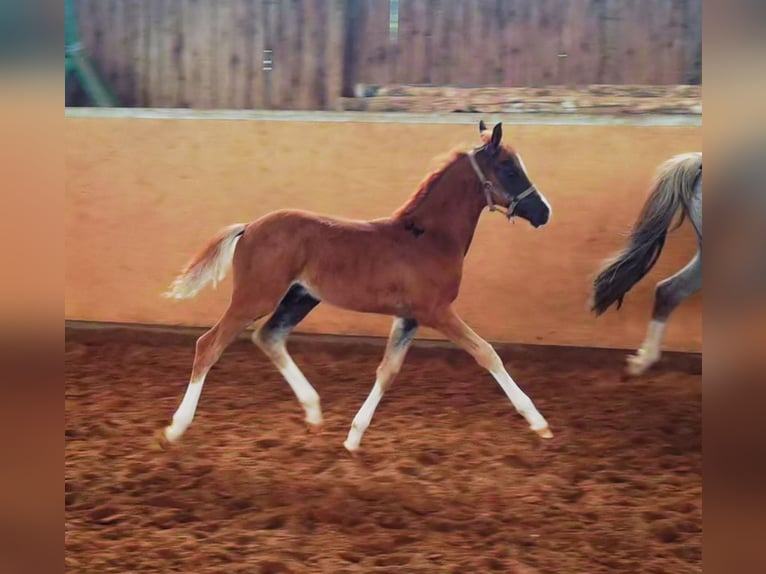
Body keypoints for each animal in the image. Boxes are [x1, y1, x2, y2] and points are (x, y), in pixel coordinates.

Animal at [162, 122, 556, 454]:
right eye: (509, 169)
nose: (544, 212)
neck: (428, 238)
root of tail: (249, 227)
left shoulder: (409, 318)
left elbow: (388, 370)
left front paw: (353, 437)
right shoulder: (436, 312)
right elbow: (486, 353)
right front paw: (539, 423)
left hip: (300, 298)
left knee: (268, 337)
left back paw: (314, 413)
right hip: (256, 296)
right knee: (209, 344)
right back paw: (176, 427)